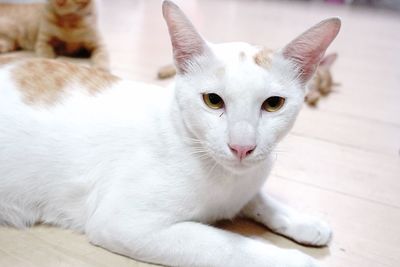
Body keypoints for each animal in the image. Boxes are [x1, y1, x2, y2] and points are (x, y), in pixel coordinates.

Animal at [0, 1, 340, 266]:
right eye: (213, 100)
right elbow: (230, 247)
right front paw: (300, 260)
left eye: (273, 104)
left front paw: (303, 222)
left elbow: (258, 201)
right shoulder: (124, 223)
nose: (241, 147)